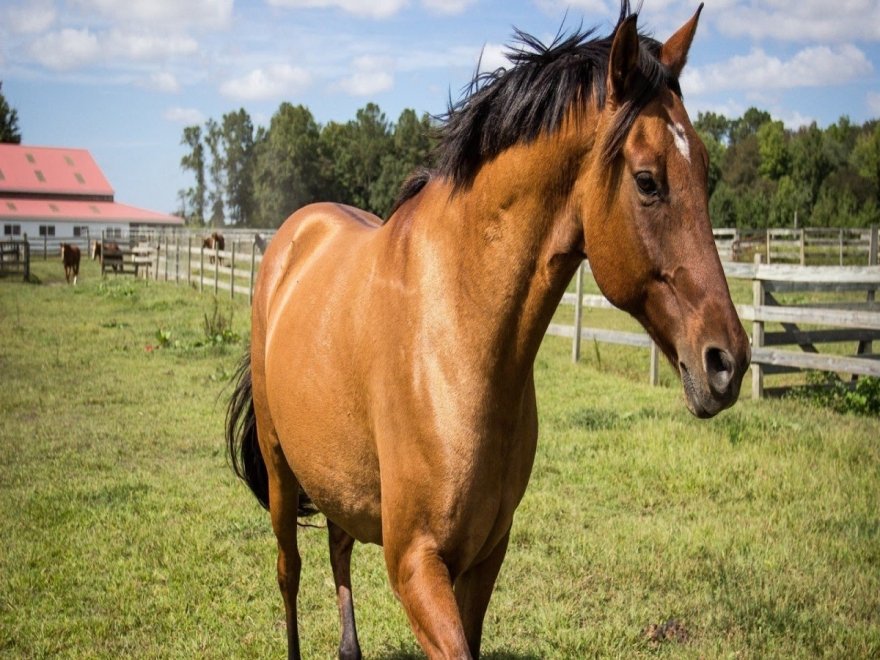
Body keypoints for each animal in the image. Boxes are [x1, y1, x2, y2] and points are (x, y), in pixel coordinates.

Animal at [225, 2, 748, 656]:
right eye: (648, 180)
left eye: (703, 168)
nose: (727, 362)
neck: (457, 338)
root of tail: (290, 238)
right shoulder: (416, 564)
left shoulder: (484, 558)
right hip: (278, 473)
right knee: (288, 572)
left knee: (338, 548)